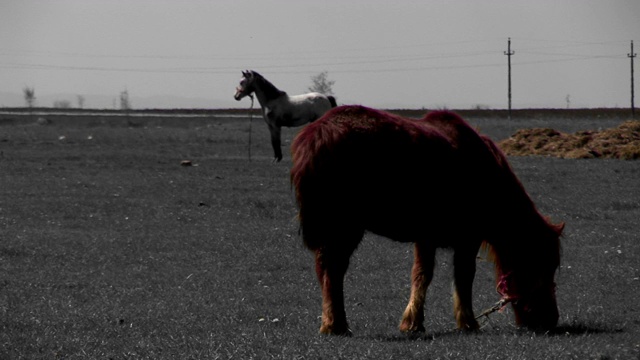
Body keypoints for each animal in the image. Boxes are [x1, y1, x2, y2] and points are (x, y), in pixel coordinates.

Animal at [292, 105, 564, 336]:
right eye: (544, 263)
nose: (550, 320)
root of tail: (317, 134)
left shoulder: (428, 238)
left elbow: (424, 275)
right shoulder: (463, 239)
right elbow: (456, 276)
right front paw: (461, 322)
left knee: (326, 270)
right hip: (345, 229)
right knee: (333, 271)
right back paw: (336, 324)